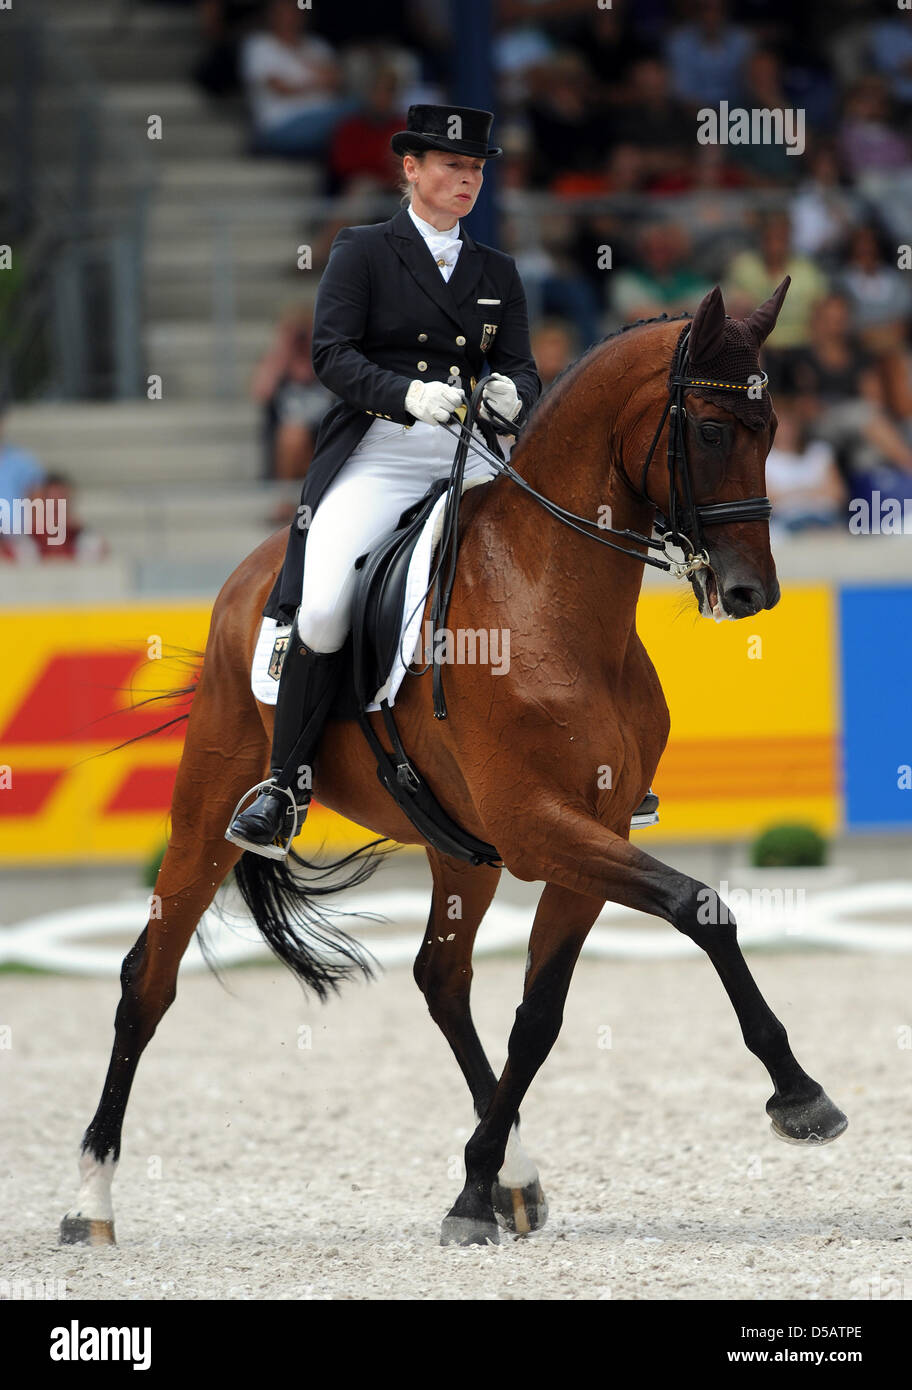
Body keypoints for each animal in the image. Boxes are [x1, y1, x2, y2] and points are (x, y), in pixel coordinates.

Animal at [60, 282, 845, 1251]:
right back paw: (89, 1200)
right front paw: (800, 1096)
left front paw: (477, 1186)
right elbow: (700, 908)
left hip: (458, 848)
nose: (751, 594)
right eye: (706, 429)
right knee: (149, 977)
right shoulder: (544, 830)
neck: (548, 598)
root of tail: (251, 575)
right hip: (207, 810)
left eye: (771, 428)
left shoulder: (588, 833)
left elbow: (540, 1015)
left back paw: (514, 1178)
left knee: (442, 981)